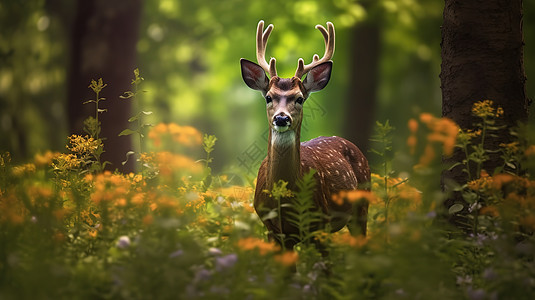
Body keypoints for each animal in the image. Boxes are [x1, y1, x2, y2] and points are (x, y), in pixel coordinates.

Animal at [241, 21, 370, 250]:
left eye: (299, 98)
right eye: (268, 97)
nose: (281, 118)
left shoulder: (320, 224)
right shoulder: (273, 231)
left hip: (362, 205)